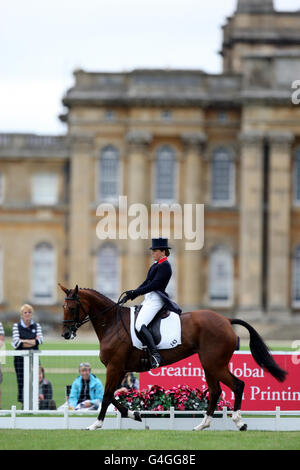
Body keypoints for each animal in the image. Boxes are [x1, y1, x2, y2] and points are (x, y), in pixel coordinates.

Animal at [59, 284, 288, 432]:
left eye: (72, 307)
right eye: (63, 307)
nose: (65, 334)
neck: (112, 324)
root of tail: (225, 319)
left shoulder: (115, 367)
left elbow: (106, 397)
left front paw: (96, 424)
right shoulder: (121, 369)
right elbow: (113, 396)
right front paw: (135, 414)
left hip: (214, 364)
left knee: (237, 385)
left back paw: (239, 422)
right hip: (209, 365)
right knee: (215, 391)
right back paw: (203, 425)